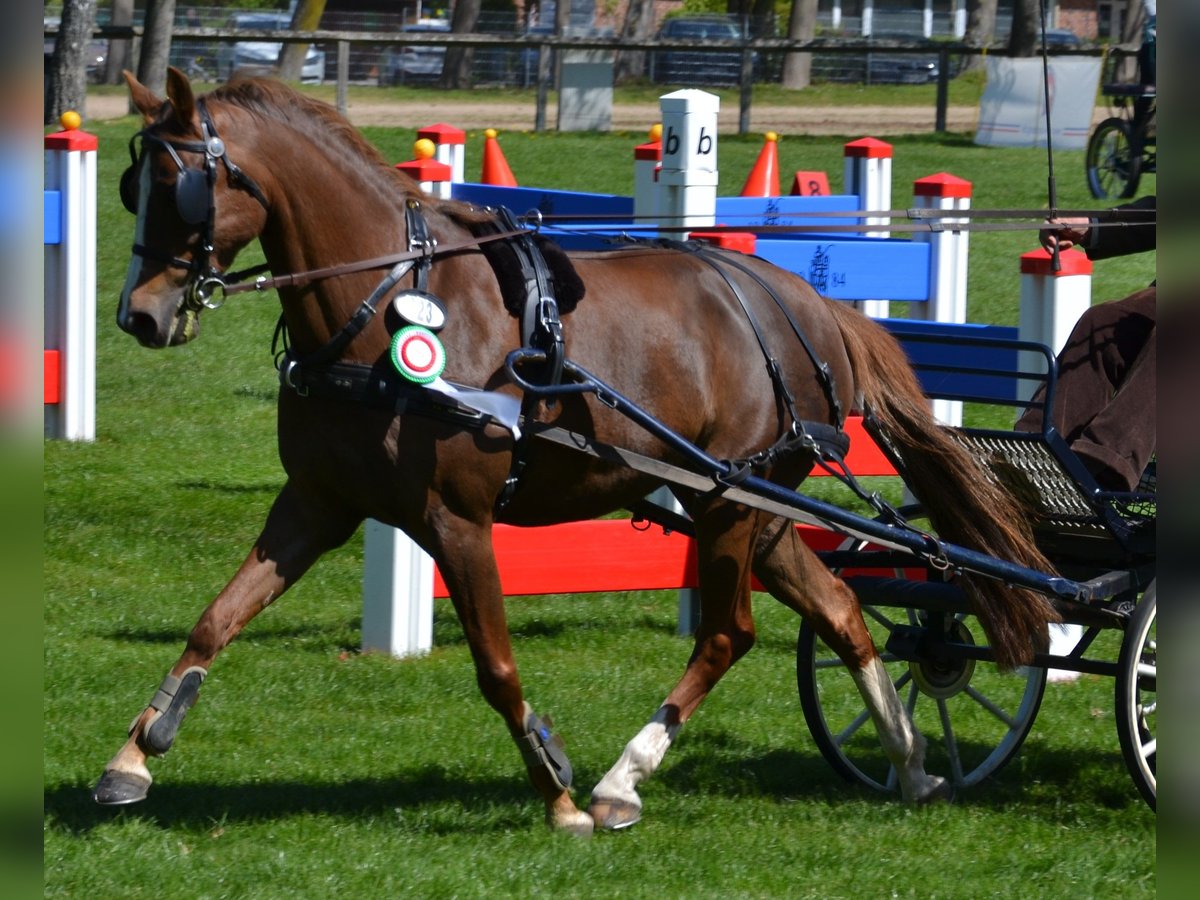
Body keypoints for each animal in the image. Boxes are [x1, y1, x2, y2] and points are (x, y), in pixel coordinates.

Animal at [93, 72, 1056, 840]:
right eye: (133, 184)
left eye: (182, 187)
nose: (139, 315)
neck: (385, 304)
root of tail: (809, 307)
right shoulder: (316, 503)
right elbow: (215, 620)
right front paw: (133, 758)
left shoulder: (457, 522)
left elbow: (496, 665)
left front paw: (555, 793)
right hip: (758, 513)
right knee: (843, 613)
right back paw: (912, 764)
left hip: (732, 506)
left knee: (728, 634)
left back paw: (621, 782)